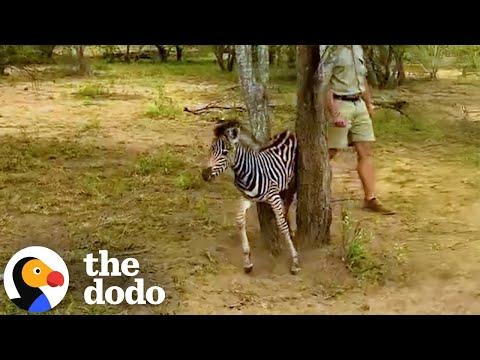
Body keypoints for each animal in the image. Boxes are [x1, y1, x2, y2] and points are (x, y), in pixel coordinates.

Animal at [202, 119, 300, 274]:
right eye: (211, 149)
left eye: (225, 152)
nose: (204, 175)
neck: (247, 171)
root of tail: (289, 131)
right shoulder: (247, 197)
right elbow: (240, 221)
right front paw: (247, 261)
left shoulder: (273, 196)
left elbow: (281, 224)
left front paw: (294, 260)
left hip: (291, 184)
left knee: (289, 205)